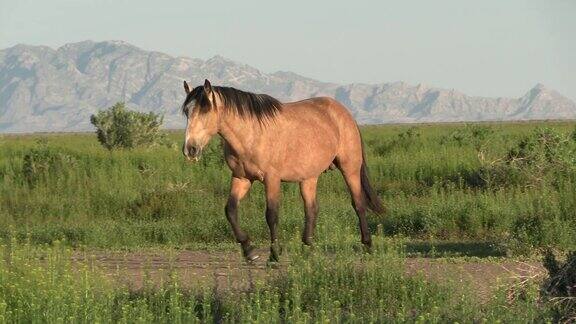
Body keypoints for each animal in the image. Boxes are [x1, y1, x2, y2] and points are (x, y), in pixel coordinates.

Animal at [182, 79, 384, 262]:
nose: (190, 149)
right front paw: (249, 250)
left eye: (206, 110)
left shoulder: (271, 179)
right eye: (186, 111)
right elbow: (230, 210)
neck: (251, 134)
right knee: (311, 209)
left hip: (350, 169)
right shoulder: (241, 178)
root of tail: (345, 113)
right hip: (309, 177)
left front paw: (274, 255)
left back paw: (368, 245)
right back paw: (307, 249)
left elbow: (271, 215)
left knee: (358, 204)